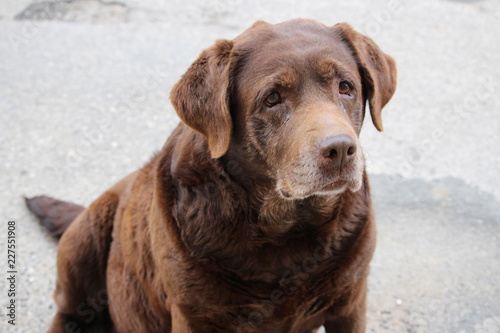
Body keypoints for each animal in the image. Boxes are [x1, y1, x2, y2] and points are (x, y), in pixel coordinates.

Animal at [26, 18, 394, 332]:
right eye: (273, 98)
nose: (340, 150)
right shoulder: (194, 315)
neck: (285, 230)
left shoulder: (350, 302)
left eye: (345, 87)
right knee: (68, 311)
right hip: (86, 234)